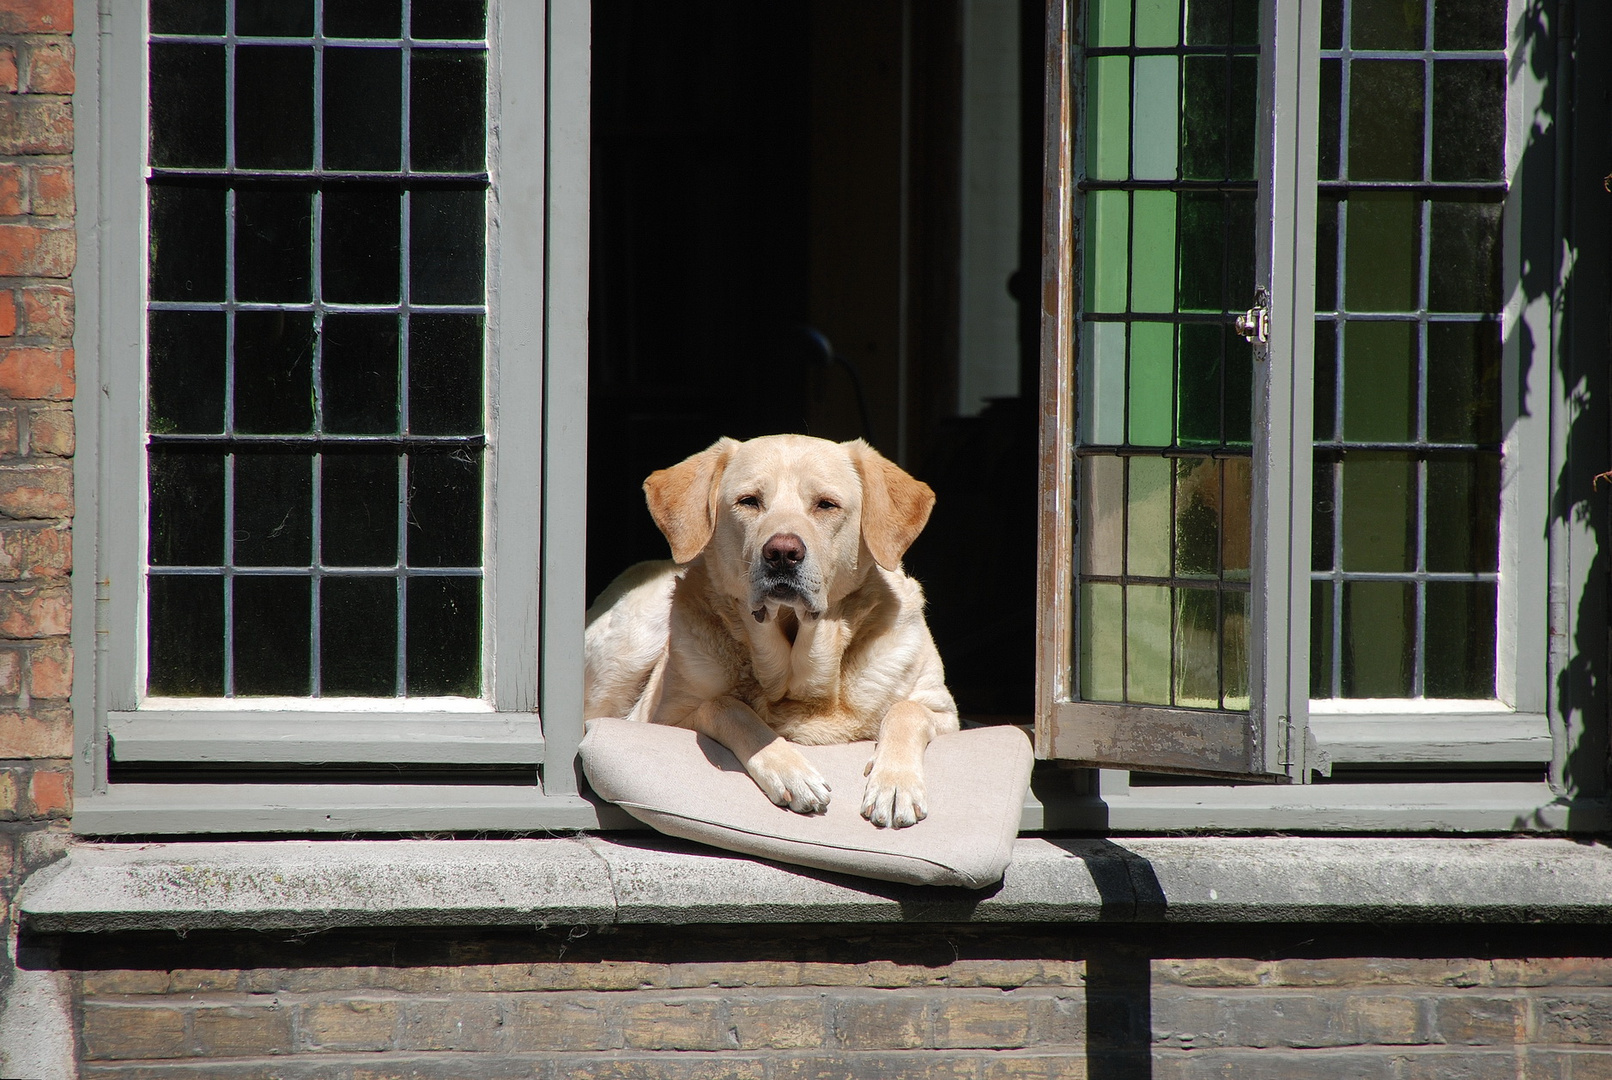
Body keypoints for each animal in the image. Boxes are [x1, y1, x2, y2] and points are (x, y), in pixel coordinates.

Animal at [586, 435, 954, 831]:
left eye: (826, 504)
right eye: (749, 501)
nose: (782, 552)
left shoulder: (944, 712)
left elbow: (906, 710)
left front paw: (895, 784)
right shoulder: (660, 718)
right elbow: (726, 706)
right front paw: (791, 771)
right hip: (633, 643)